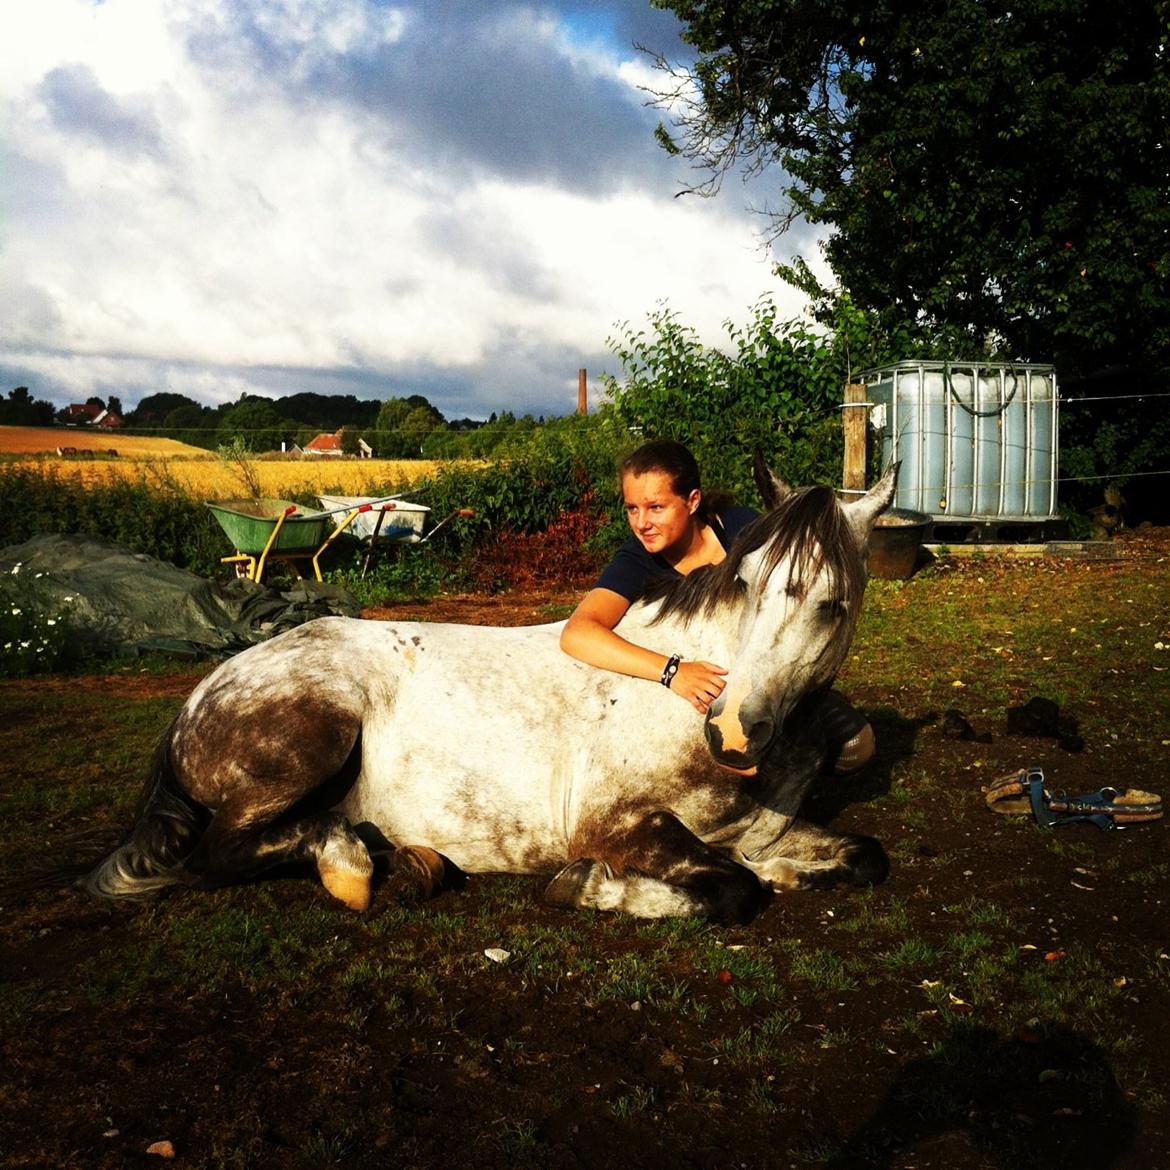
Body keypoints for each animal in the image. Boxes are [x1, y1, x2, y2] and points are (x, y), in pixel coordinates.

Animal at [87, 456, 898, 924]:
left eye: (831, 602)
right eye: (748, 582)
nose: (730, 733)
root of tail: (198, 700)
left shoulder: (759, 828)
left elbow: (857, 858)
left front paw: (785, 871)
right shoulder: (616, 827)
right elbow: (728, 893)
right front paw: (591, 888)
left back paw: (399, 863)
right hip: (314, 737)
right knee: (215, 856)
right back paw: (350, 865)